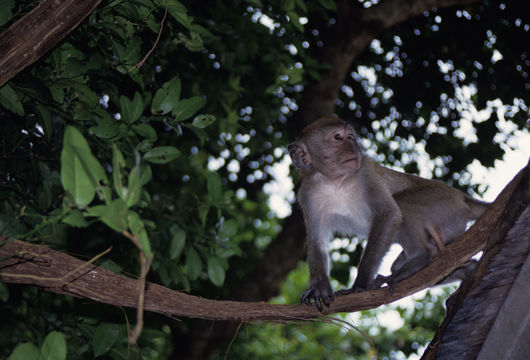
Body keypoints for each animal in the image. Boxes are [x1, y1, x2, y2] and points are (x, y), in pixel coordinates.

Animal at [288, 116, 486, 310]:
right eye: (338, 138)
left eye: (350, 137)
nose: (354, 148)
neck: (335, 181)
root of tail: (461, 196)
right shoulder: (307, 193)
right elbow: (317, 240)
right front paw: (318, 288)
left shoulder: (365, 172)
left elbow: (388, 213)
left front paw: (359, 286)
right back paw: (463, 270)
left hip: (443, 201)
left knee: (402, 202)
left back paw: (420, 256)